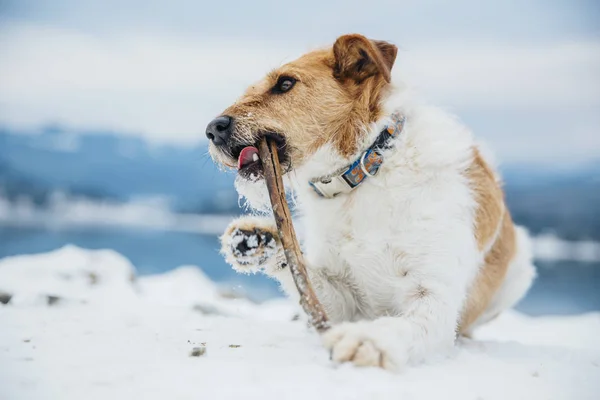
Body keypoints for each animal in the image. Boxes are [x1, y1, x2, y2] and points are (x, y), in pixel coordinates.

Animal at [205, 32, 536, 370]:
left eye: (285, 83)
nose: (212, 130)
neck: (365, 171)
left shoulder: (432, 296)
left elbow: (403, 324)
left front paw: (368, 339)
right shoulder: (341, 301)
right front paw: (256, 239)